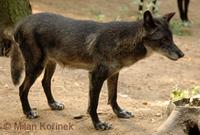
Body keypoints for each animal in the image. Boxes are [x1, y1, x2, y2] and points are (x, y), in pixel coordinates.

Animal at [11, 10, 184, 130]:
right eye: (163, 39)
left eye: (172, 38)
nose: (182, 55)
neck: (121, 41)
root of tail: (22, 21)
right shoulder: (96, 76)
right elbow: (94, 104)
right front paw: (98, 124)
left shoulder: (113, 74)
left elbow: (113, 97)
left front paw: (120, 113)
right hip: (36, 66)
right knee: (22, 88)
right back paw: (28, 112)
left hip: (50, 64)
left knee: (45, 83)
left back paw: (53, 104)